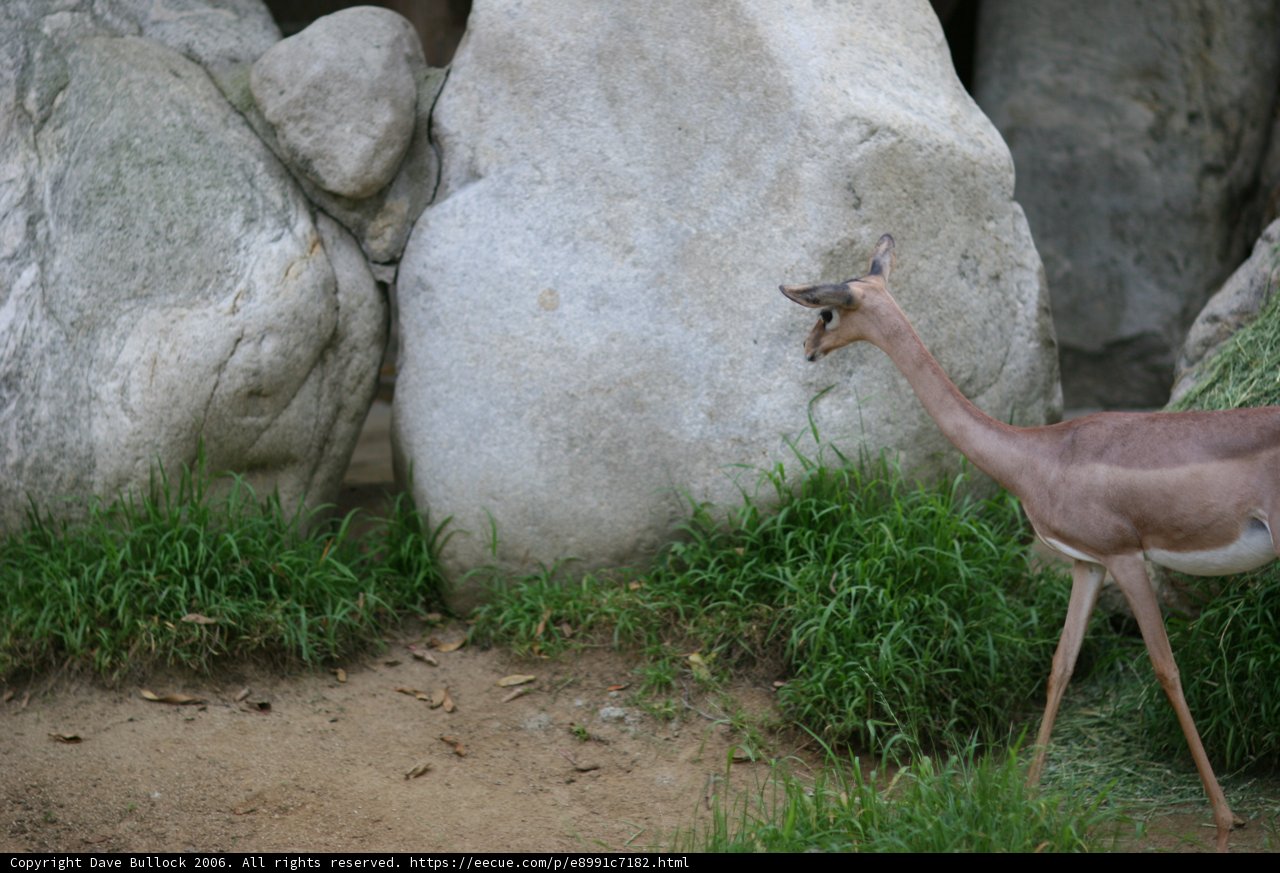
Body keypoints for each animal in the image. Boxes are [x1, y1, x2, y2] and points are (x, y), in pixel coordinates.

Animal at [781, 233, 1276, 852]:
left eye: (827, 311)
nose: (808, 349)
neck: (1039, 455)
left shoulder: (1125, 559)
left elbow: (1166, 669)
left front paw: (1225, 819)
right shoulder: (1088, 566)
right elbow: (1061, 664)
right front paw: (1028, 799)